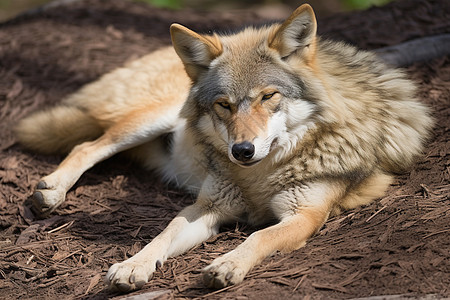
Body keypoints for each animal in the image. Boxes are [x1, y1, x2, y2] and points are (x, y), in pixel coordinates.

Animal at [16, 3, 432, 292]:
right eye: (224, 105)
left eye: (268, 96)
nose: (242, 150)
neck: (260, 176)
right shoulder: (207, 207)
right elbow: (163, 233)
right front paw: (134, 265)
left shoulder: (305, 217)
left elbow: (260, 235)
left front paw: (228, 263)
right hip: (156, 118)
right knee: (90, 143)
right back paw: (51, 191)